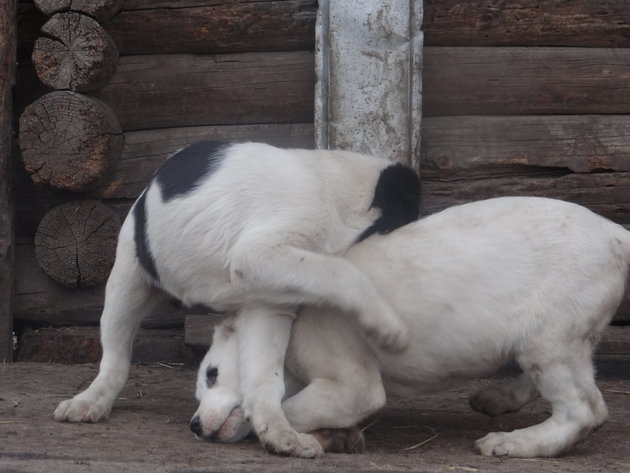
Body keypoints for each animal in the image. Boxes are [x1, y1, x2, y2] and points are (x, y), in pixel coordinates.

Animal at [53, 141, 420, 458]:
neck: (342, 196)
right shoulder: (257, 255)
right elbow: (340, 270)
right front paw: (388, 328)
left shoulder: (269, 299)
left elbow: (263, 375)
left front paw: (280, 435)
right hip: (128, 279)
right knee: (115, 357)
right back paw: (88, 402)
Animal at [191, 196, 630, 458]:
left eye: (212, 374)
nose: (194, 426)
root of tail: (617, 233)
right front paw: (338, 436)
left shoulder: (354, 384)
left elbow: (286, 408)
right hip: (554, 341)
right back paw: (499, 398)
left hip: (551, 339)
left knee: (584, 409)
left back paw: (514, 443)